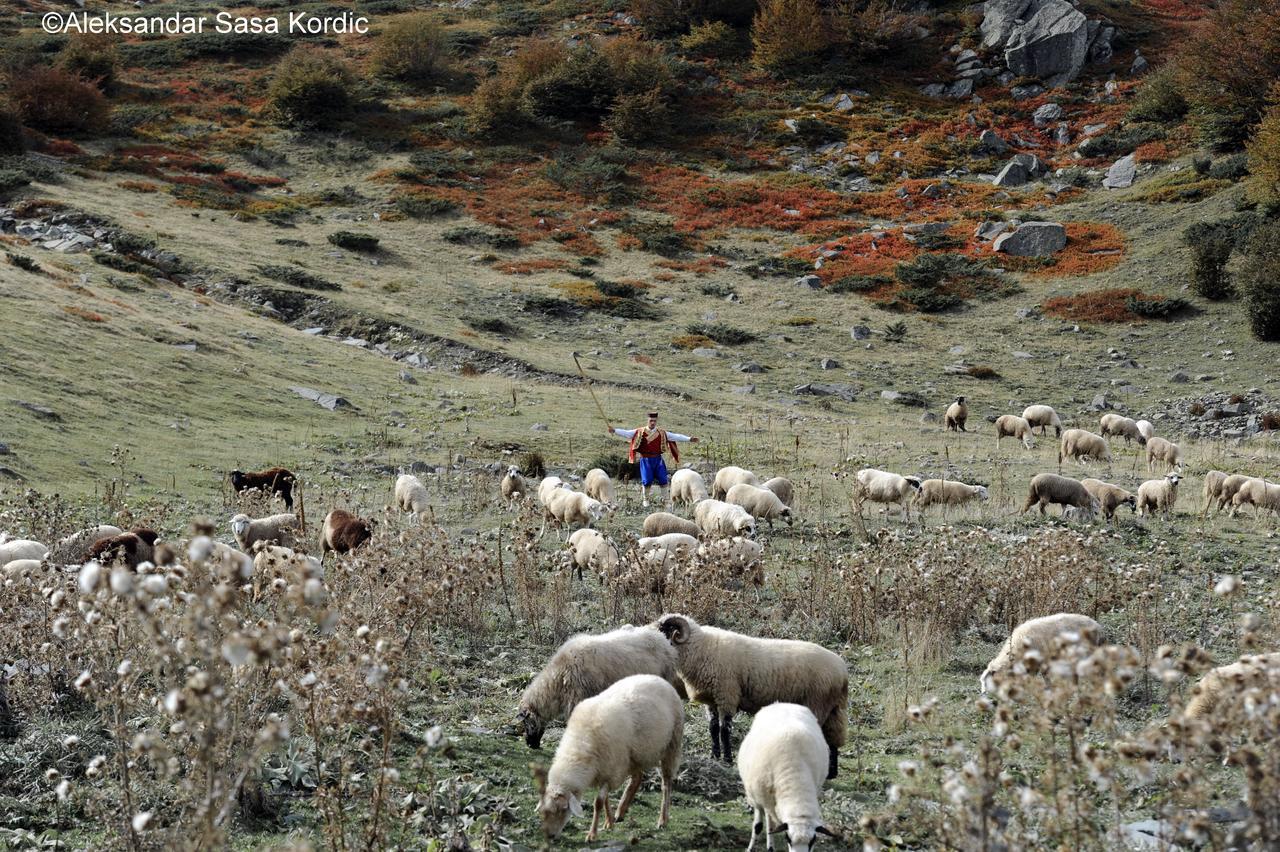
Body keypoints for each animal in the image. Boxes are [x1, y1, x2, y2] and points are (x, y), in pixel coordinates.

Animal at [537, 675, 686, 839]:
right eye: (544, 812)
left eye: (564, 809)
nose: (550, 836)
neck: (580, 746)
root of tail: (658, 679)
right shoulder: (605, 770)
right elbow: (606, 799)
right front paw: (609, 822)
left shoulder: (611, 769)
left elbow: (598, 802)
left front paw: (592, 834)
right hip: (634, 756)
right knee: (637, 778)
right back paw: (620, 811)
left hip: (671, 745)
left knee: (666, 784)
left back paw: (662, 820)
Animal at [655, 611, 844, 777]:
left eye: (664, 630)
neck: (701, 648)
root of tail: (842, 670)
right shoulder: (712, 700)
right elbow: (713, 728)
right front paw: (714, 756)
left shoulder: (727, 696)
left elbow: (724, 729)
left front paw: (727, 760)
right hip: (833, 709)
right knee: (833, 737)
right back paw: (832, 773)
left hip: (818, 703)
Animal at [737, 701, 834, 849]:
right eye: (787, 838)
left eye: (813, 841)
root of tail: (783, 703)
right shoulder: (768, 802)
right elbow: (769, 827)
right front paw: (770, 847)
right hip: (754, 792)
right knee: (758, 823)